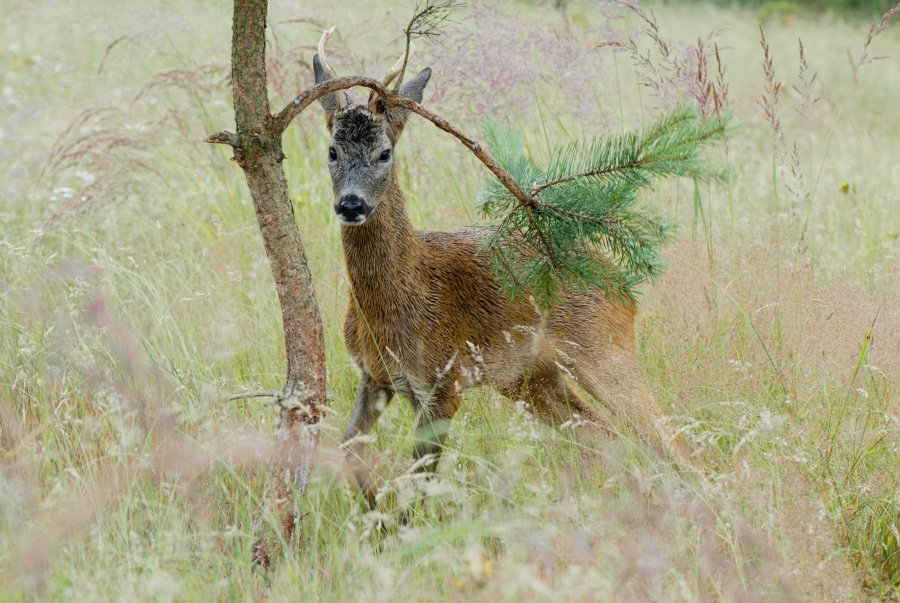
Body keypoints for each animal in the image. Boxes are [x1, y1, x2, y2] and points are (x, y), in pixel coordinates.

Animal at [311, 31, 693, 503]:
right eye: (332, 150)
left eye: (384, 153)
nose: (351, 204)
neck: (397, 300)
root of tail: (623, 284)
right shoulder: (373, 377)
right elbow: (349, 452)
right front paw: (371, 510)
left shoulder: (443, 381)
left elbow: (417, 482)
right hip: (529, 377)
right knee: (607, 436)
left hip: (603, 347)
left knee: (671, 442)